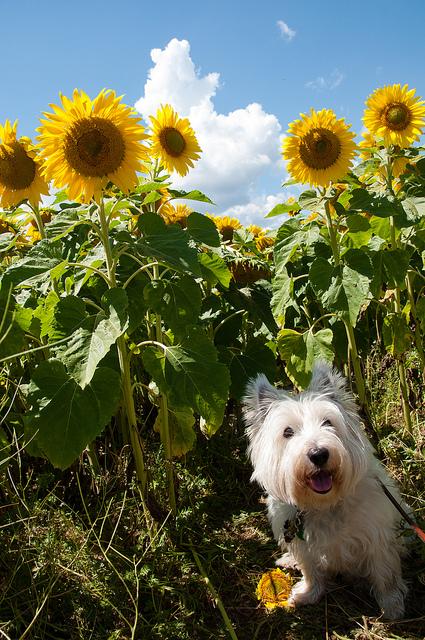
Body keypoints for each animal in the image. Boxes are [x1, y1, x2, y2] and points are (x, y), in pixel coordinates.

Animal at [243, 364, 406, 620]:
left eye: (328, 422)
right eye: (287, 432)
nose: (318, 454)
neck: (325, 504)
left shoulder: (377, 535)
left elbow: (384, 572)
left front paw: (392, 605)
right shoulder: (303, 544)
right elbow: (311, 570)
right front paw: (306, 594)